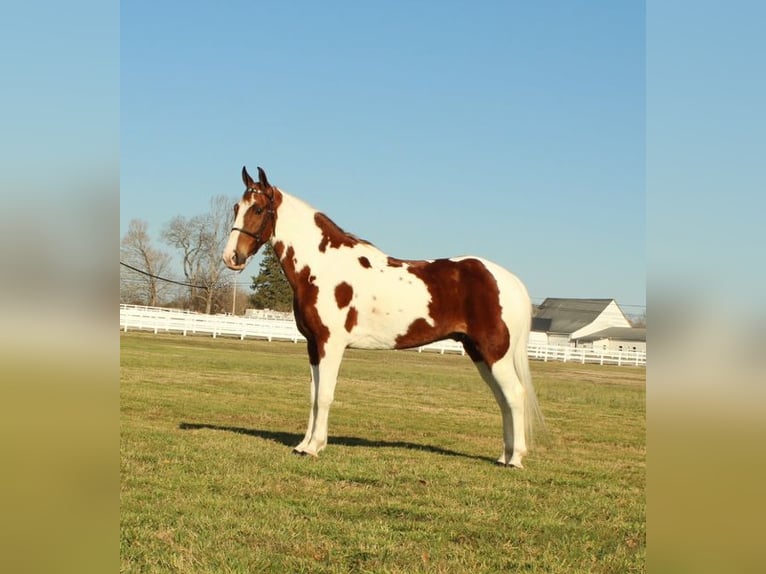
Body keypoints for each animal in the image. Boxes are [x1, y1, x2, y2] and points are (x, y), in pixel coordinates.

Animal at [222, 166, 542, 468]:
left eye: (258, 209)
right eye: (237, 208)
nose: (231, 257)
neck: (323, 267)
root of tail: (509, 280)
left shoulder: (331, 344)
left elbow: (325, 395)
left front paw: (315, 448)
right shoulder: (313, 346)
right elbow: (313, 395)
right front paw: (303, 445)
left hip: (494, 352)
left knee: (514, 395)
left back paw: (515, 459)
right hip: (478, 353)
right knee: (503, 400)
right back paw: (503, 456)